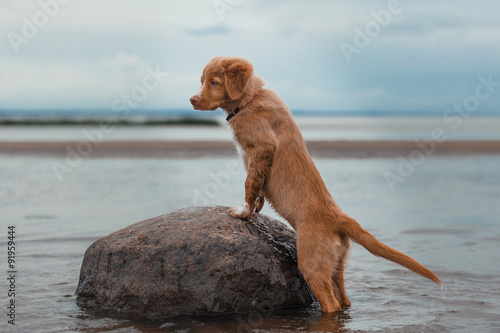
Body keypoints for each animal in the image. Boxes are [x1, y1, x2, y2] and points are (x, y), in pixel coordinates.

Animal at [189, 55, 440, 312]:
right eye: (202, 81)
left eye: (214, 82)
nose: (192, 100)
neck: (250, 99)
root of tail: (341, 218)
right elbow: (258, 185)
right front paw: (256, 207)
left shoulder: (261, 149)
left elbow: (250, 183)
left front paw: (242, 211)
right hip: (336, 263)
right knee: (343, 297)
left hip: (312, 263)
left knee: (330, 303)